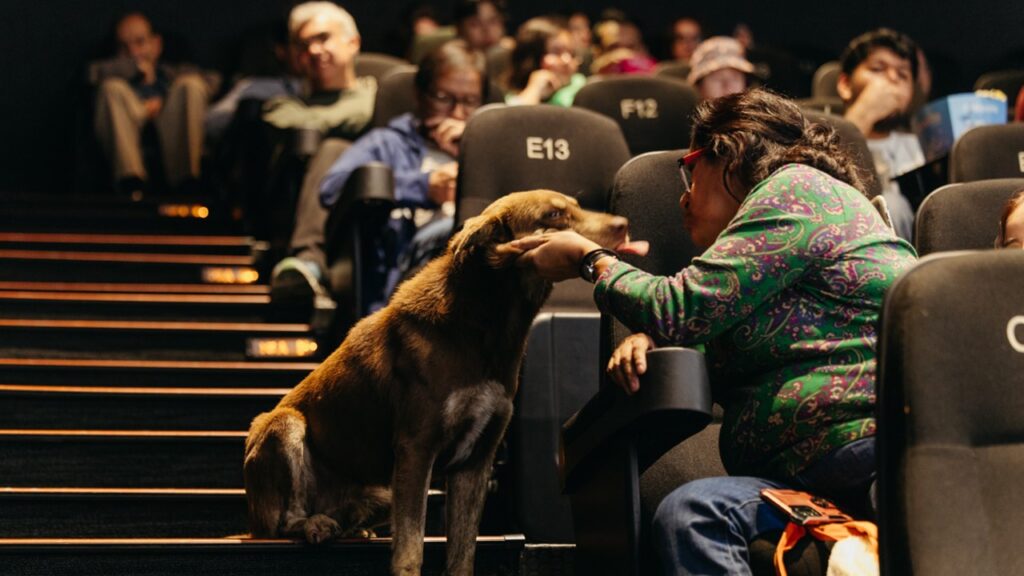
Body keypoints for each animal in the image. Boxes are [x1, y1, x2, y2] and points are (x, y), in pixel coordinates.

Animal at [246, 187, 626, 569]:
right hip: (283, 425)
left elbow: (462, 555)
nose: (623, 224)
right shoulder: (417, 448)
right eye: (554, 215)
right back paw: (316, 524)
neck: (488, 323)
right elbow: (410, 549)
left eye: (576, 205)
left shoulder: (476, 461)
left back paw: (349, 525)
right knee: (285, 520)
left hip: (385, 490)